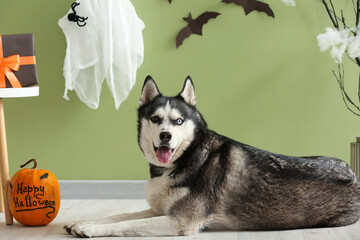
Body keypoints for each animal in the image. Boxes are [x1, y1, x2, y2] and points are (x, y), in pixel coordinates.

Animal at [65, 76, 360, 237]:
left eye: (179, 121)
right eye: (155, 119)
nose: (165, 136)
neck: (187, 158)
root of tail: (353, 173)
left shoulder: (180, 221)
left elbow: (124, 225)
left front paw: (90, 229)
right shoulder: (158, 209)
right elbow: (119, 216)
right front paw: (80, 222)